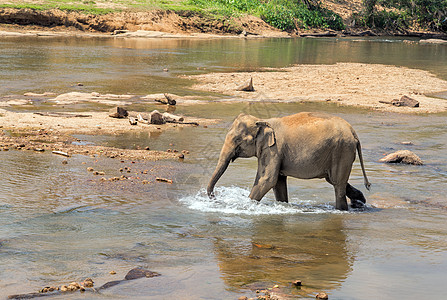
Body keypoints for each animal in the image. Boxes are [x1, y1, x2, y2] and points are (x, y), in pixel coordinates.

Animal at [208, 112, 372, 211]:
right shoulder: (274, 152)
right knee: (334, 180)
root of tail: (353, 131)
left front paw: (244, 207)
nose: (215, 197)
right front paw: (282, 205)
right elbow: (278, 181)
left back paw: (342, 209)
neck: (262, 120)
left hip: (342, 150)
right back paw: (359, 202)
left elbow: (267, 180)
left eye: (237, 140)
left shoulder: (273, 150)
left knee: (337, 184)